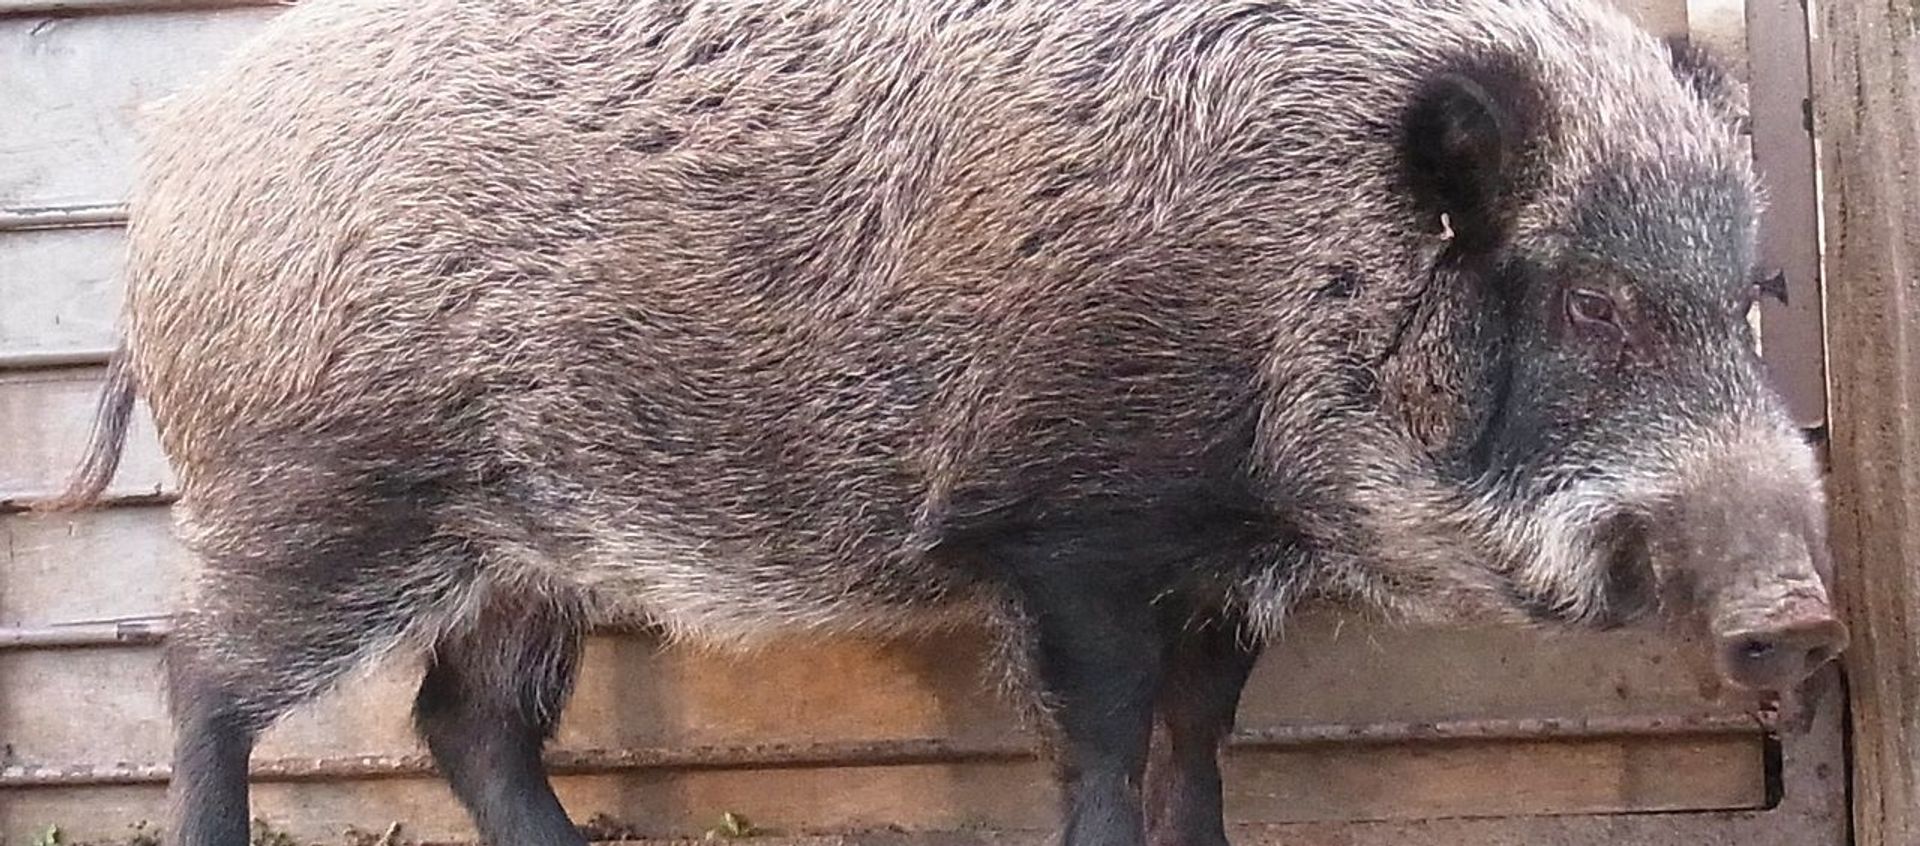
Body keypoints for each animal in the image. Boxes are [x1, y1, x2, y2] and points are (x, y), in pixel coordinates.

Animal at [41, 0, 1847, 844]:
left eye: (1746, 290)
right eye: (1595, 304)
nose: (1809, 615)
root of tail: (168, 167)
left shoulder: (1226, 559)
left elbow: (1204, 731)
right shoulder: (1069, 521)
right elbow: (1107, 729)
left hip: (525, 546)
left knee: (466, 720)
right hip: (323, 489)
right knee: (201, 680)